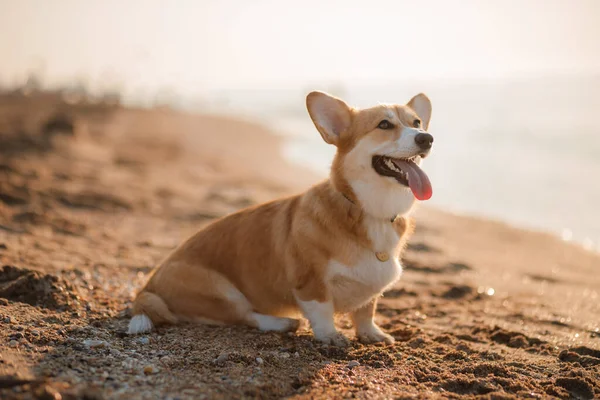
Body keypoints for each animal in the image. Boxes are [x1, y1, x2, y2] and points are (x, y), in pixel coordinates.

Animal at [129, 89, 434, 346]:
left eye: (418, 123)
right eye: (384, 125)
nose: (426, 138)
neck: (369, 210)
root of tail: (147, 287)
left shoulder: (370, 288)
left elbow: (365, 311)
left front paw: (371, 333)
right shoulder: (310, 281)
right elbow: (322, 310)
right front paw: (331, 336)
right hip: (220, 289)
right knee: (245, 316)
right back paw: (282, 323)